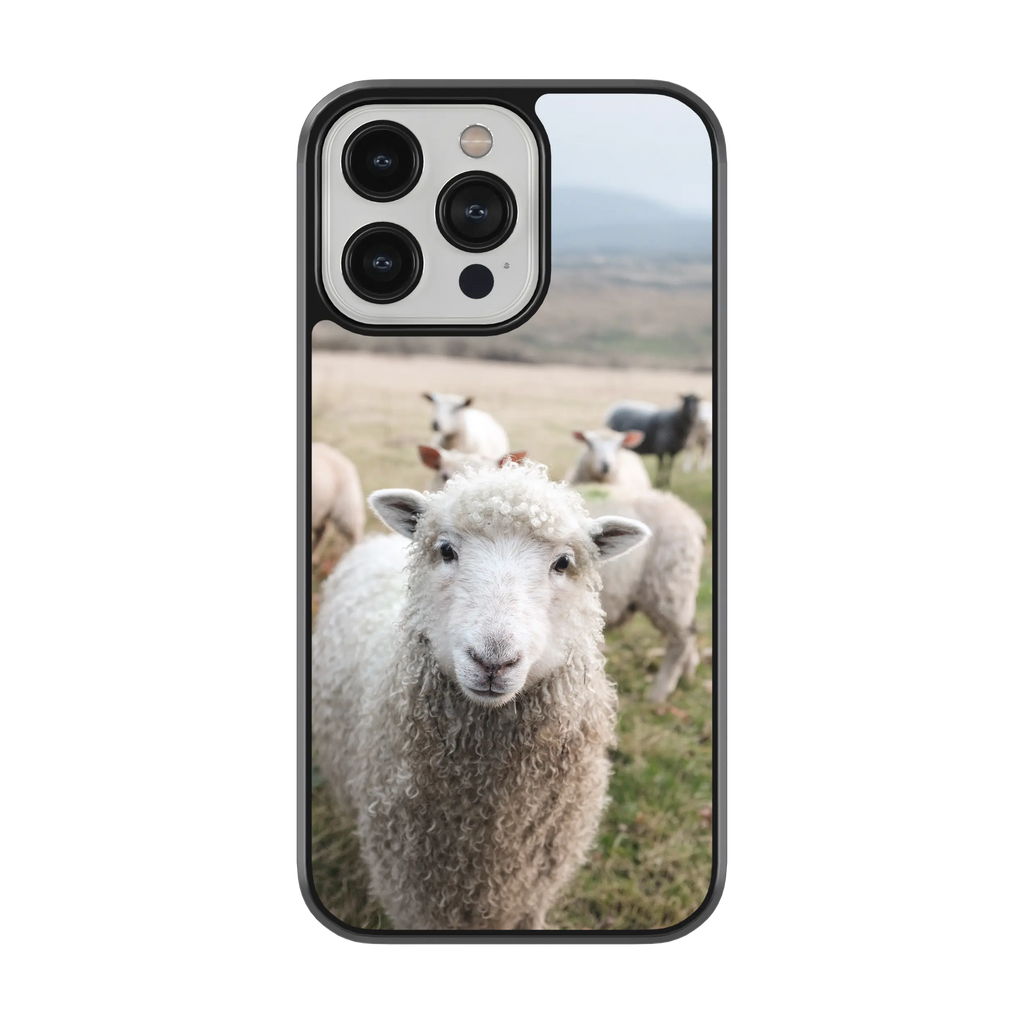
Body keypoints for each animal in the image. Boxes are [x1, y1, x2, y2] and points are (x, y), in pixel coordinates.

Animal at [311, 459, 651, 930]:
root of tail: (377, 542)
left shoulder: (535, 886)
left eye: (563, 562)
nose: (493, 660)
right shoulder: (410, 885)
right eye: (446, 550)